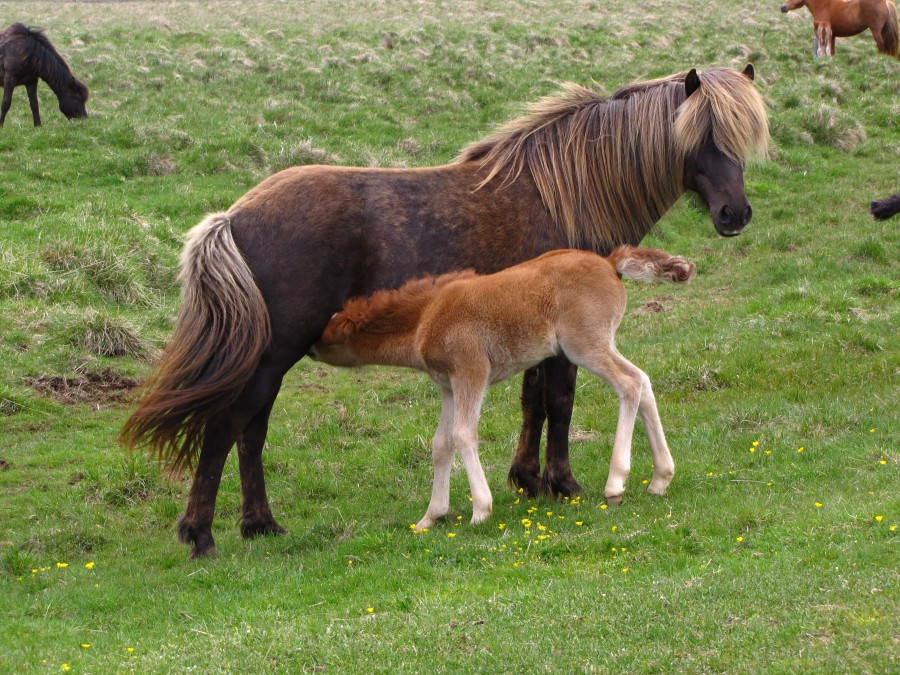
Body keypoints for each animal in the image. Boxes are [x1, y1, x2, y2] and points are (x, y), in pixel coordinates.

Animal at [312, 246, 696, 532]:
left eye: (326, 335)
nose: (308, 348)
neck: (425, 316)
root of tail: (609, 263)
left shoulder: (471, 371)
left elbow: (464, 434)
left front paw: (481, 509)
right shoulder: (449, 386)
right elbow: (441, 444)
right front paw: (431, 516)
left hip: (584, 345)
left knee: (630, 384)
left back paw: (616, 483)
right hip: (600, 343)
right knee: (643, 381)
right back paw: (660, 478)